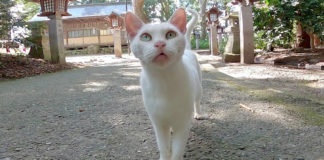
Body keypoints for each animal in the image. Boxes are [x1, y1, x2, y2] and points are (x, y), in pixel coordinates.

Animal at [125, 8, 201, 159]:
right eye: (145, 37)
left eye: (170, 34)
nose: (160, 43)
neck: (163, 80)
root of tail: (189, 50)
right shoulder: (158, 124)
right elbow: (164, 147)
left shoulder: (182, 124)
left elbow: (177, 151)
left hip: (199, 89)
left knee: (197, 101)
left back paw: (198, 113)